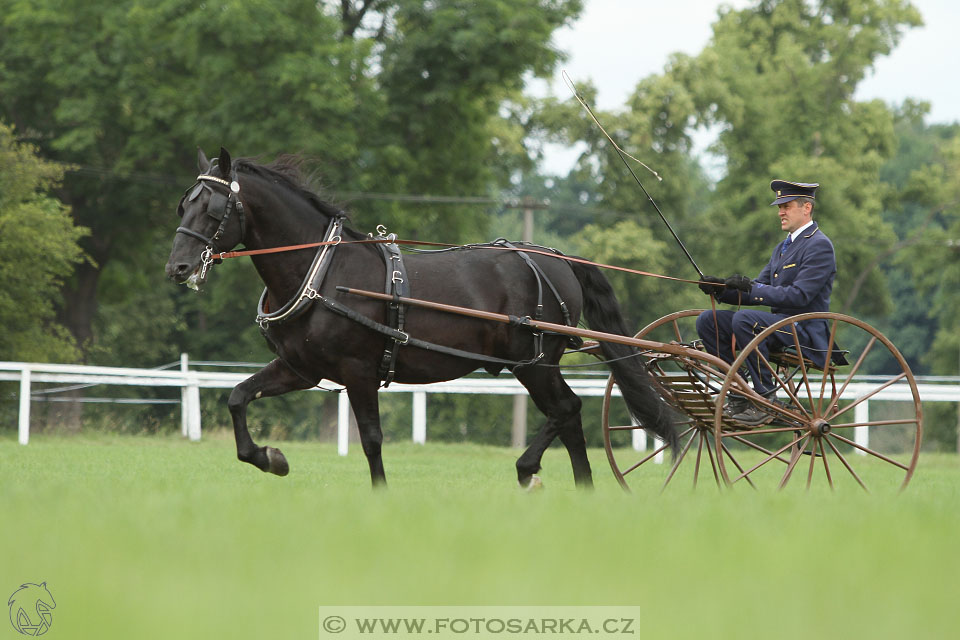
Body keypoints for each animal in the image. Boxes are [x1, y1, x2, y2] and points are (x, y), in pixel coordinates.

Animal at [163, 148, 676, 488]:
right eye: (183, 204)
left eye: (212, 208)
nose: (178, 268)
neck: (323, 272)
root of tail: (557, 260)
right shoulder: (301, 369)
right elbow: (238, 397)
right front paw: (269, 457)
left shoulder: (358, 371)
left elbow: (371, 439)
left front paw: (380, 496)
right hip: (535, 365)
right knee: (567, 419)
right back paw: (581, 491)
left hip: (534, 363)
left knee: (567, 410)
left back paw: (529, 470)